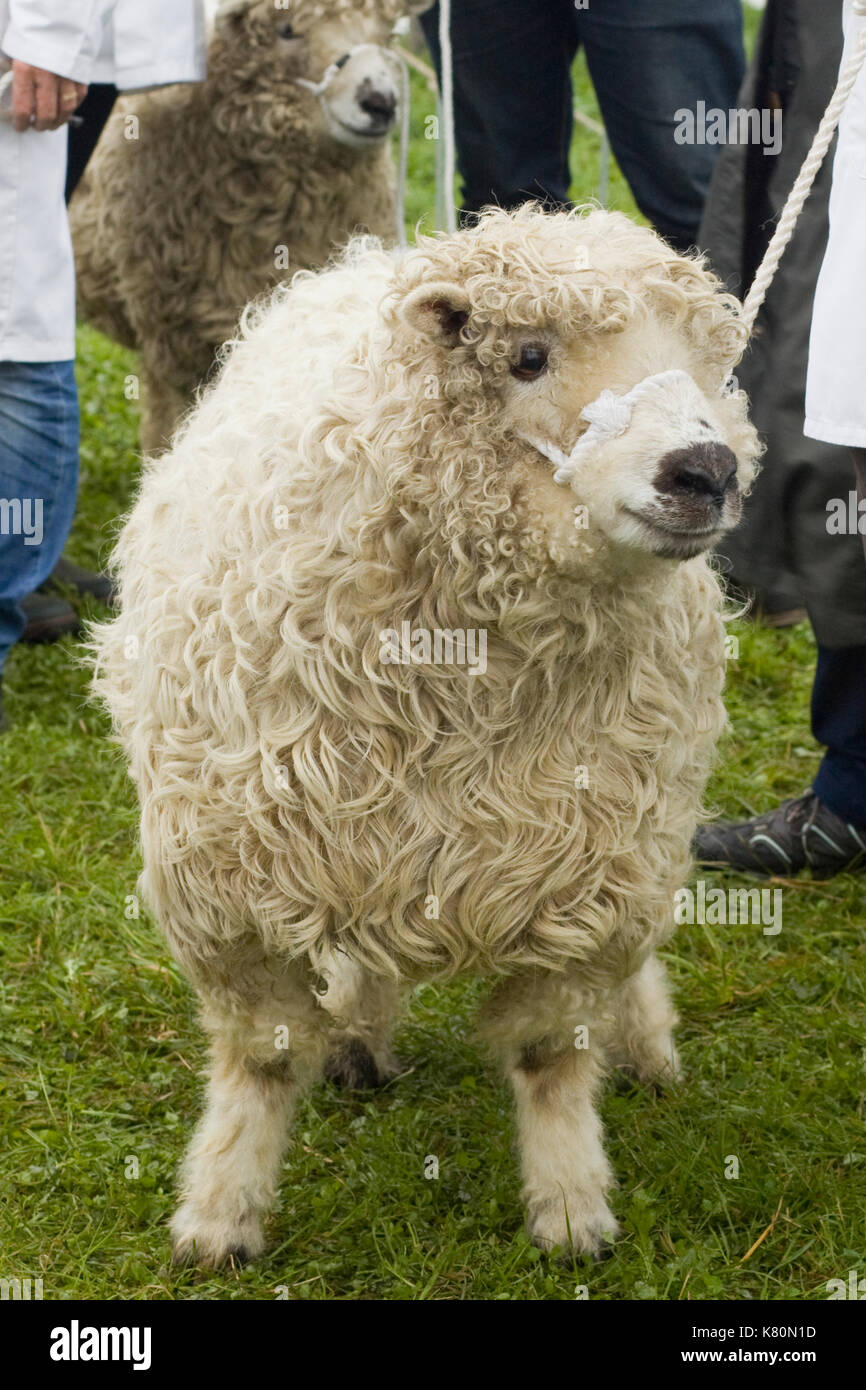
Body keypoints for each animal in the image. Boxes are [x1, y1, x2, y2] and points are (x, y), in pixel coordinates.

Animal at [91, 208, 761, 1273]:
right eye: (527, 356)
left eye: (708, 365)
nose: (706, 471)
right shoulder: (227, 884)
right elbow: (260, 1059)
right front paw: (219, 1214)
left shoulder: (589, 867)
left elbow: (549, 1055)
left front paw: (571, 1208)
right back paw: (361, 1038)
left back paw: (645, 1042)